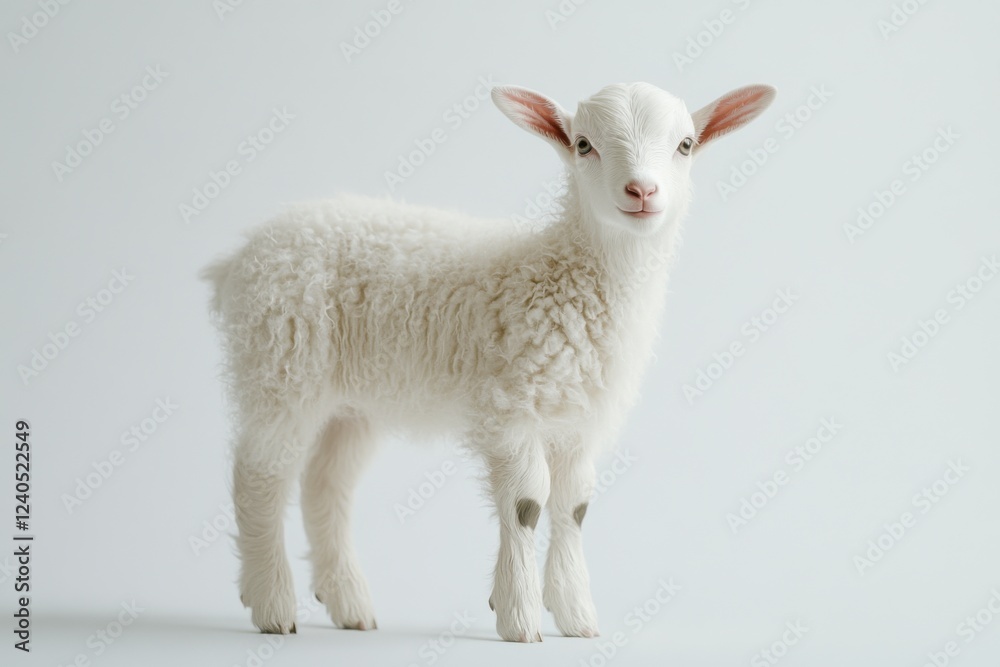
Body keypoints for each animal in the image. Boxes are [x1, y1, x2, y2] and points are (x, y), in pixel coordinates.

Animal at [202, 81, 775, 642]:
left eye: (685, 145)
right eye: (583, 145)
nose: (642, 192)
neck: (566, 276)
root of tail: (240, 257)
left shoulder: (580, 419)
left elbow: (574, 505)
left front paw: (576, 617)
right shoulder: (511, 407)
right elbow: (527, 504)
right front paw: (519, 618)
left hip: (353, 402)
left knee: (325, 484)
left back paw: (349, 603)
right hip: (281, 364)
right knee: (259, 476)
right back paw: (272, 604)